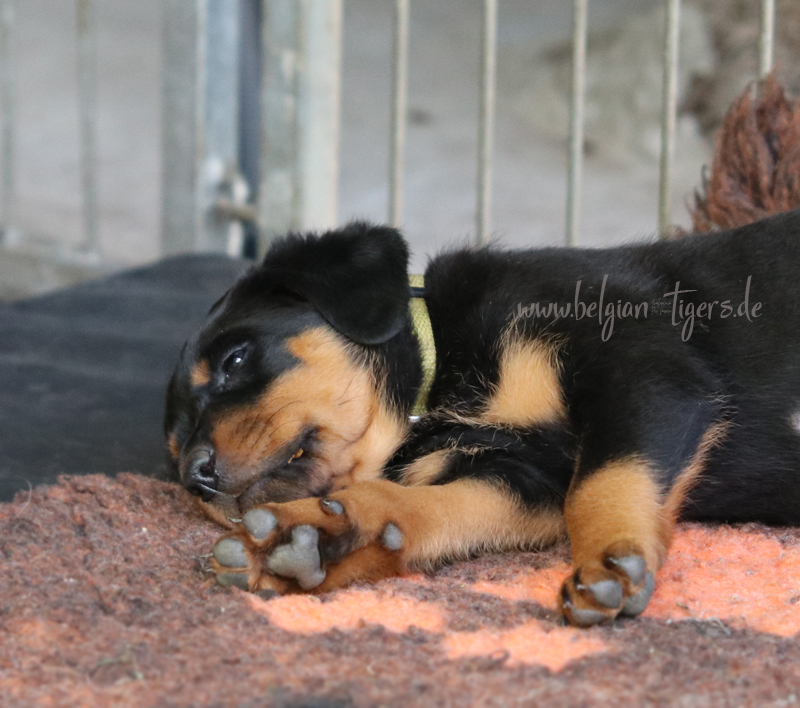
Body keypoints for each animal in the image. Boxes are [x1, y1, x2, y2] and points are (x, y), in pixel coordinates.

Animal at [164, 209, 800, 627]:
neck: (439, 392)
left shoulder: (644, 363)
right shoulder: (522, 480)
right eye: (174, 453)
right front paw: (312, 539)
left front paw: (610, 562)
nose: (195, 477)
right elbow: (428, 506)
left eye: (235, 359)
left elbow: (605, 479)